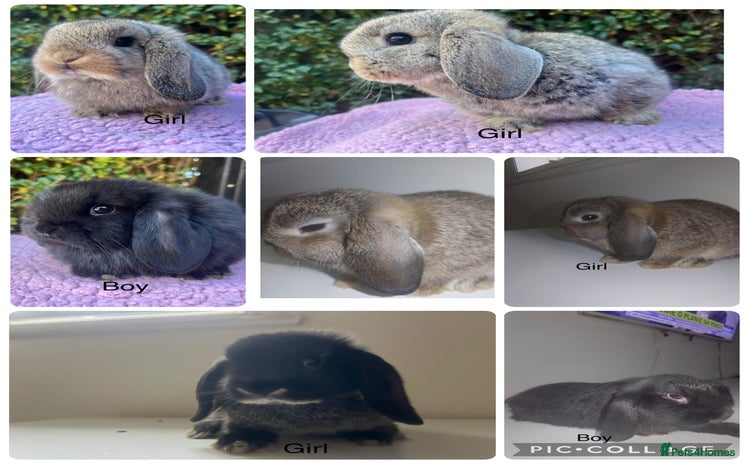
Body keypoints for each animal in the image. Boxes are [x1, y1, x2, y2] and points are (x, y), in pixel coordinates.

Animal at [186, 331, 424, 453]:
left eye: (314, 361)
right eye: (233, 364)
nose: (258, 387)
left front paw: (369, 437)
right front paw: (239, 441)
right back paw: (201, 429)